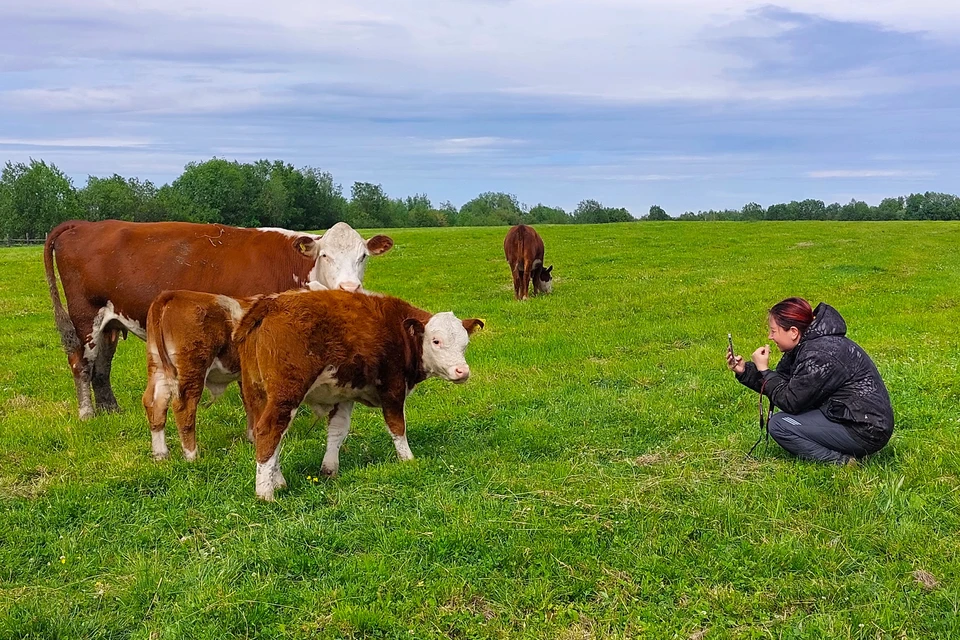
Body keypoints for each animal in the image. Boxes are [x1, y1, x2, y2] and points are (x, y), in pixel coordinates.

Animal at [41, 220, 394, 420]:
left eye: (363, 256)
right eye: (324, 255)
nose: (350, 288)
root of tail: (85, 224)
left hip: (110, 322)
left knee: (102, 366)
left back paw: (111, 411)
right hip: (85, 316)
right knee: (81, 363)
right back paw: (87, 414)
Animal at [233, 288, 488, 500]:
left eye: (465, 344)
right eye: (436, 341)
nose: (462, 371)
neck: (400, 331)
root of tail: (271, 302)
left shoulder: (344, 395)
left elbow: (337, 431)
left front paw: (329, 469)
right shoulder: (393, 388)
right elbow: (397, 427)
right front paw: (407, 460)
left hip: (256, 392)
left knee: (266, 433)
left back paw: (278, 482)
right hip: (286, 393)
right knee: (270, 431)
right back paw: (265, 493)